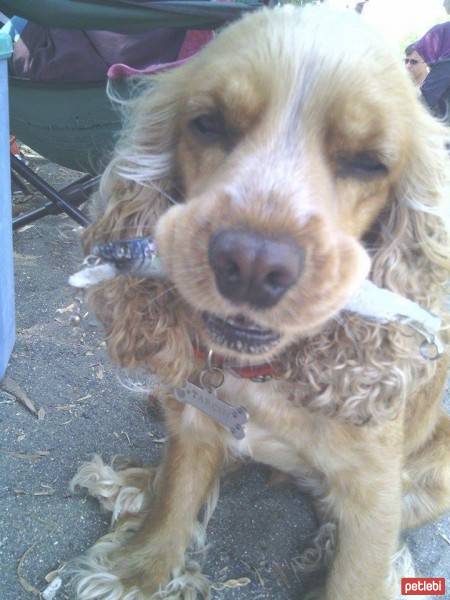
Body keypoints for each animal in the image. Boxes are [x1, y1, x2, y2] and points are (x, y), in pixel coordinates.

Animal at [68, 4, 448, 600]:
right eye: (209, 124)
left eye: (368, 163)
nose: (251, 264)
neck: (267, 376)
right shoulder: (196, 420)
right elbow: (175, 497)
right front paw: (137, 572)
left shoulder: (374, 490)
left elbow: (359, 571)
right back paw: (130, 483)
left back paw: (324, 544)